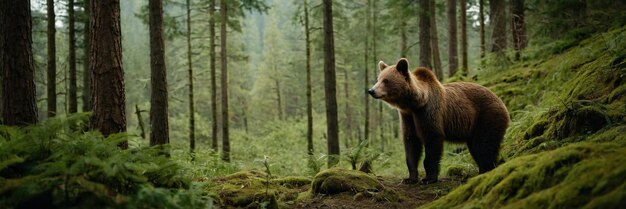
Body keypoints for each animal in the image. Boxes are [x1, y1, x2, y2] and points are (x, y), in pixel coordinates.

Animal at [366, 58, 508, 184]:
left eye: (386, 80)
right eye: (378, 79)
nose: (371, 90)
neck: (413, 104)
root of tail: (500, 101)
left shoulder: (428, 112)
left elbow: (432, 138)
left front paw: (428, 178)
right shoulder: (407, 117)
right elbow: (411, 142)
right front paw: (410, 178)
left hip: (487, 117)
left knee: (485, 145)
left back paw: (486, 170)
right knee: (476, 148)